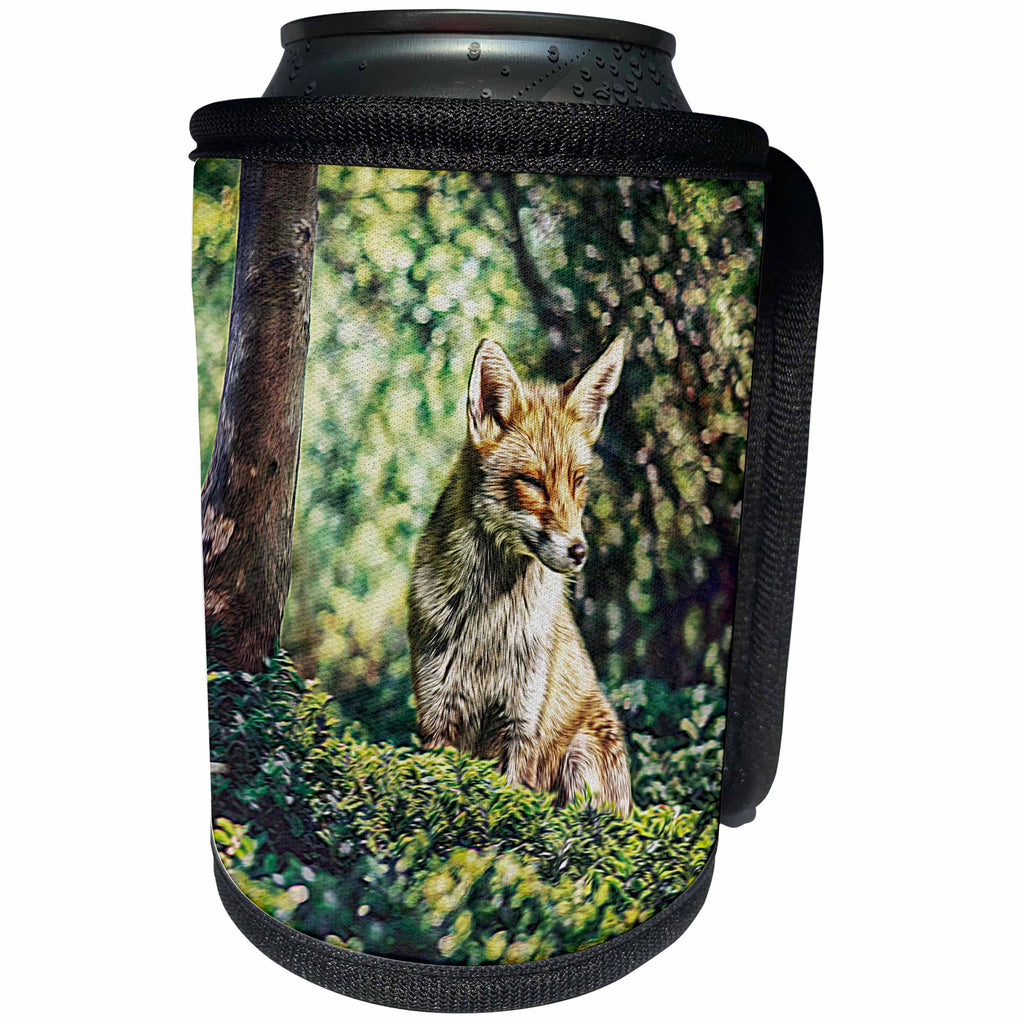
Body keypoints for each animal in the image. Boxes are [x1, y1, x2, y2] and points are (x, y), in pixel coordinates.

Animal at [408, 337, 632, 815]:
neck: (489, 626)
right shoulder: (436, 717)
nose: (580, 551)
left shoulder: (522, 725)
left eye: (577, 481)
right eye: (532, 483)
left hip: (580, 758)